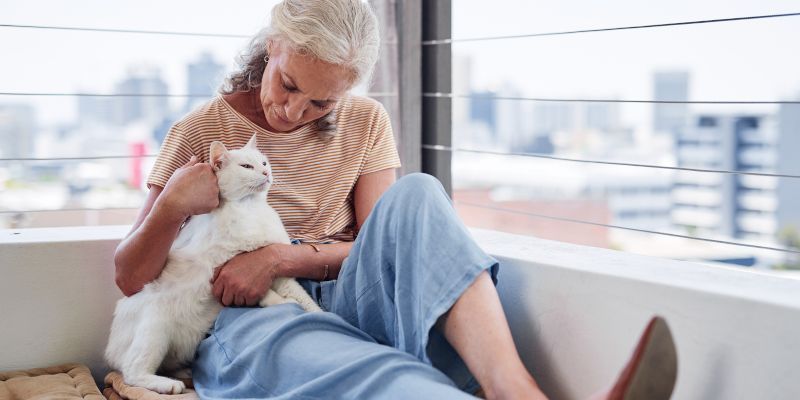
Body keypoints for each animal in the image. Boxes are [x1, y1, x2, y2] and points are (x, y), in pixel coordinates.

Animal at [104, 134, 320, 394]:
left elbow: (305, 299)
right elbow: (266, 293)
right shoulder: (225, 269)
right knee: (132, 372)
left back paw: (184, 372)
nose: (266, 173)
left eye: (263, 162)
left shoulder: (277, 273)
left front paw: (322, 315)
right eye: (246, 166)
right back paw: (168, 385)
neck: (251, 209)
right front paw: (282, 303)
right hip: (155, 327)